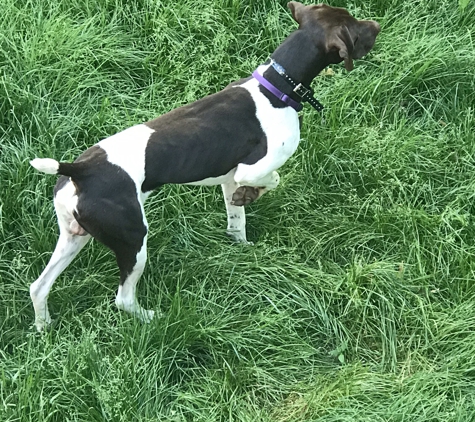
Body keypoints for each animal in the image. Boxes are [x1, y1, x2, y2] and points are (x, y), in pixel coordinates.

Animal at [28, 1, 380, 332]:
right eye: (354, 28)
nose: (376, 24)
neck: (274, 88)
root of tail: (79, 171)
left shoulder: (229, 179)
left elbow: (237, 223)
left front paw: (243, 242)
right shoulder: (249, 170)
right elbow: (274, 178)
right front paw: (252, 195)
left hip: (74, 237)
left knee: (38, 287)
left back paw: (44, 327)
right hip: (133, 239)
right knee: (123, 299)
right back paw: (153, 318)